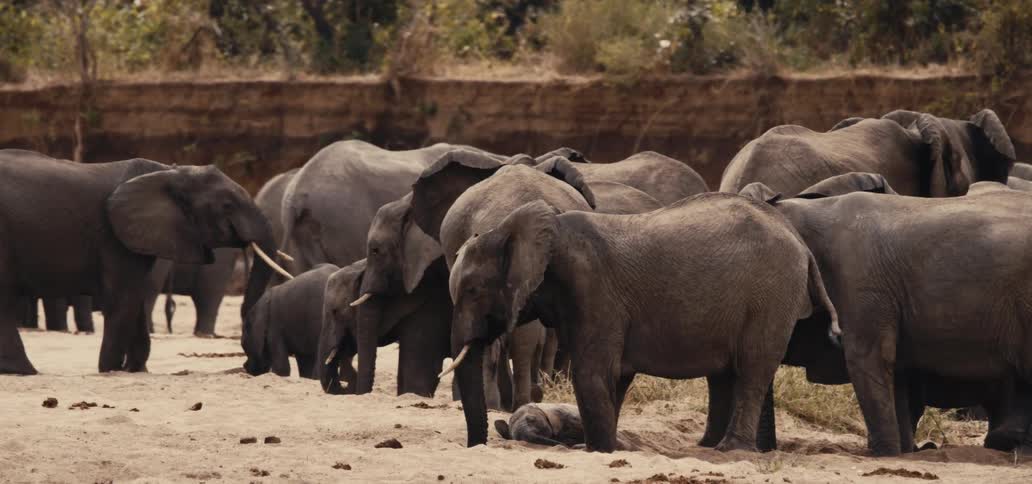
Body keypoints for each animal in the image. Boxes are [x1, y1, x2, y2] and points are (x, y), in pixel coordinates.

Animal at [0, 149, 284, 374]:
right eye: (227, 205)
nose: (248, 365)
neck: (169, 171)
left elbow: (135, 299)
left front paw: (134, 370)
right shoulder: (114, 236)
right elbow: (123, 298)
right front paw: (110, 370)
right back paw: (24, 370)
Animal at [441, 194, 839, 452]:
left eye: (473, 290)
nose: (478, 445)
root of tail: (800, 243)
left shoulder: (591, 288)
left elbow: (591, 374)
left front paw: (599, 451)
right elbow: (613, 378)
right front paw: (603, 447)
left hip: (770, 296)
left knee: (752, 370)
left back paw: (732, 451)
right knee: (726, 375)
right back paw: (708, 447)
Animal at [739, 171, 1032, 456]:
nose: (763, 451)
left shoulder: (859, 281)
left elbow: (866, 358)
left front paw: (884, 454)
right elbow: (896, 372)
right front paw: (902, 451)